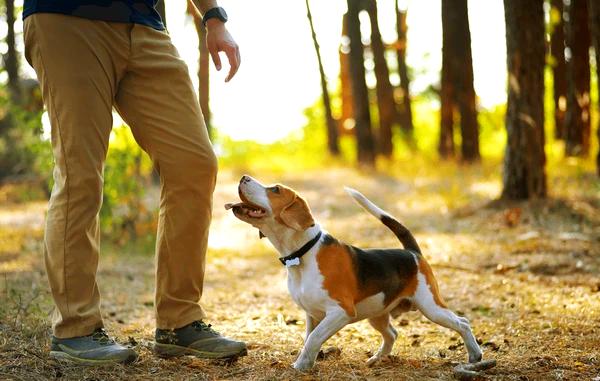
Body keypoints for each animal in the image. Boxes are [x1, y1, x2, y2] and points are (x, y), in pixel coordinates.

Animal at [225, 176, 482, 372]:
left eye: (275, 189)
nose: (243, 177)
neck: (303, 253)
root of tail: (412, 253)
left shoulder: (341, 311)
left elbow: (314, 338)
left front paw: (301, 366)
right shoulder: (312, 314)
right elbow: (309, 338)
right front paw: (307, 362)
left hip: (430, 306)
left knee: (463, 322)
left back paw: (475, 354)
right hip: (377, 313)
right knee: (392, 333)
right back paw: (377, 359)